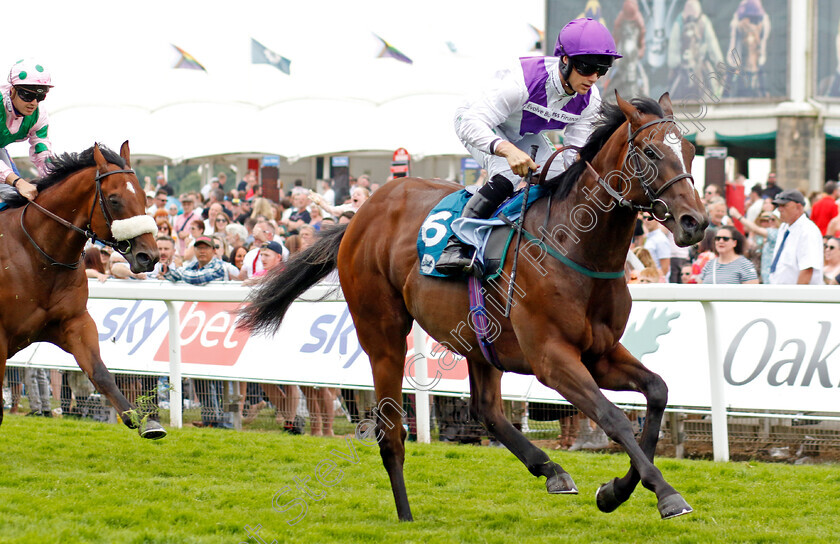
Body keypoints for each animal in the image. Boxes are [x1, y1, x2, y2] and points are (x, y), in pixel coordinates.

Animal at [0, 143, 165, 438]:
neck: (38, 256)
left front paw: (143, 421)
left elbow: (100, 373)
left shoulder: (74, 321)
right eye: (114, 199)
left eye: (144, 196)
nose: (149, 256)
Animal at [241, 92, 708, 520]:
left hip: (479, 339)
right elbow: (614, 417)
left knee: (486, 409)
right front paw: (666, 494)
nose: (695, 222)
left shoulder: (601, 353)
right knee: (391, 433)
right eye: (651, 152)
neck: (576, 248)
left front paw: (615, 491)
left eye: (689, 151)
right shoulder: (552, 358)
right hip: (382, 334)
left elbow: (657, 392)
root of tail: (360, 214)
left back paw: (551, 469)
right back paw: (406, 516)